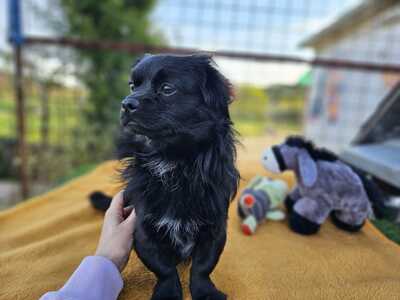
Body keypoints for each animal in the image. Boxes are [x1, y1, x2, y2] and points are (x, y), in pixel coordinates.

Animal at [90, 54, 239, 300]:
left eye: (168, 89)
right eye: (132, 86)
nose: (126, 103)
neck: (172, 162)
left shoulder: (214, 228)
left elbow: (203, 266)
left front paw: (205, 292)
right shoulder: (143, 228)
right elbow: (163, 268)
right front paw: (168, 293)